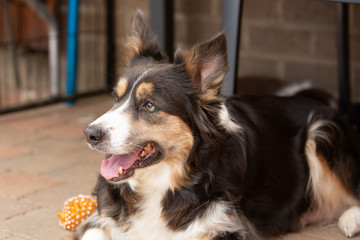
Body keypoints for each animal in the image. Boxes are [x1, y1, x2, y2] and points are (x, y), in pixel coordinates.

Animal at [80, 11, 360, 240]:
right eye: (115, 98)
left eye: (149, 105)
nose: (90, 134)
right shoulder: (102, 219)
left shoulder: (228, 227)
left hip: (321, 128)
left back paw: (350, 219)